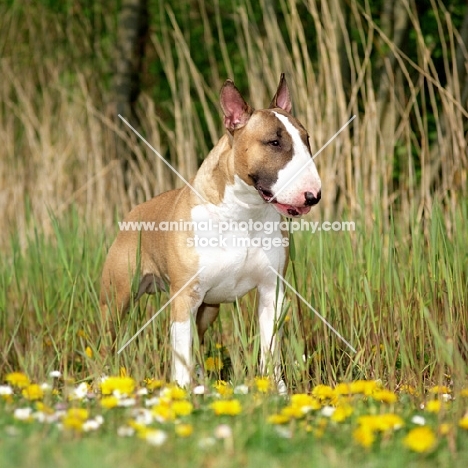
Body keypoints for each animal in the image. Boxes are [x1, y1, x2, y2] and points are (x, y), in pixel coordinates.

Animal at [101, 75, 322, 392]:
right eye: (274, 142)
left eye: (307, 139)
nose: (313, 195)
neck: (244, 214)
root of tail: (134, 212)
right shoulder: (185, 297)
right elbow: (181, 353)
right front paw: (180, 392)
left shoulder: (272, 292)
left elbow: (270, 350)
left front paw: (275, 389)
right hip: (117, 300)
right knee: (109, 339)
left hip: (209, 308)